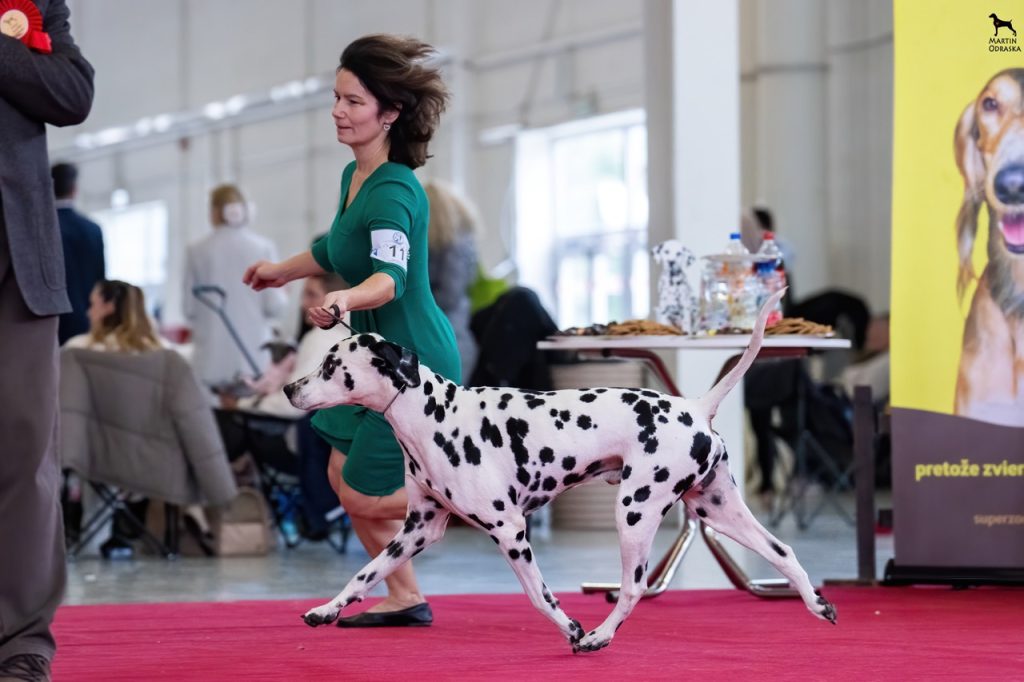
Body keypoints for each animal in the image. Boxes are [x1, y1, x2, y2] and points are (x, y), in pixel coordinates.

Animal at [286, 289, 835, 652]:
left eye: (332, 366)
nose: (291, 388)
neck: (434, 416)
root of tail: (695, 407)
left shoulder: (510, 530)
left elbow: (538, 594)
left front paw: (570, 628)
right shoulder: (416, 530)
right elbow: (364, 574)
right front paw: (326, 610)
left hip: (635, 513)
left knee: (634, 587)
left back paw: (598, 636)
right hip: (720, 512)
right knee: (783, 552)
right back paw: (817, 603)